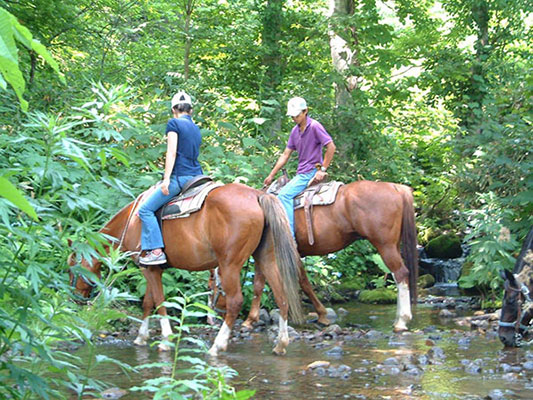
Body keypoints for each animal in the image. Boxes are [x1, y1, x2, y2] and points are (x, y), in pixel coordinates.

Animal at [67, 183, 304, 354]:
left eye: (72, 269)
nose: (76, 298)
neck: (132, 221)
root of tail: (257, 195)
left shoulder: (149, 270)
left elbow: (158, 302)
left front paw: (165, 340)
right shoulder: (152, 270)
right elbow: (148, 303)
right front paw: (141, 337)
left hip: (229, 265)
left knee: (235, 302)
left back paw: (217, 346)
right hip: (266, 258)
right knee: (282, 296)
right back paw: (281, 344)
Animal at [210, 180, 418, 332]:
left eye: (212, 284)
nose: (212, 317)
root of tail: (395, 187)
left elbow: (299, 282)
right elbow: (261, 284)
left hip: (385, 245)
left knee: (401, 273)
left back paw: (402, 321)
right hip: (393, 244)